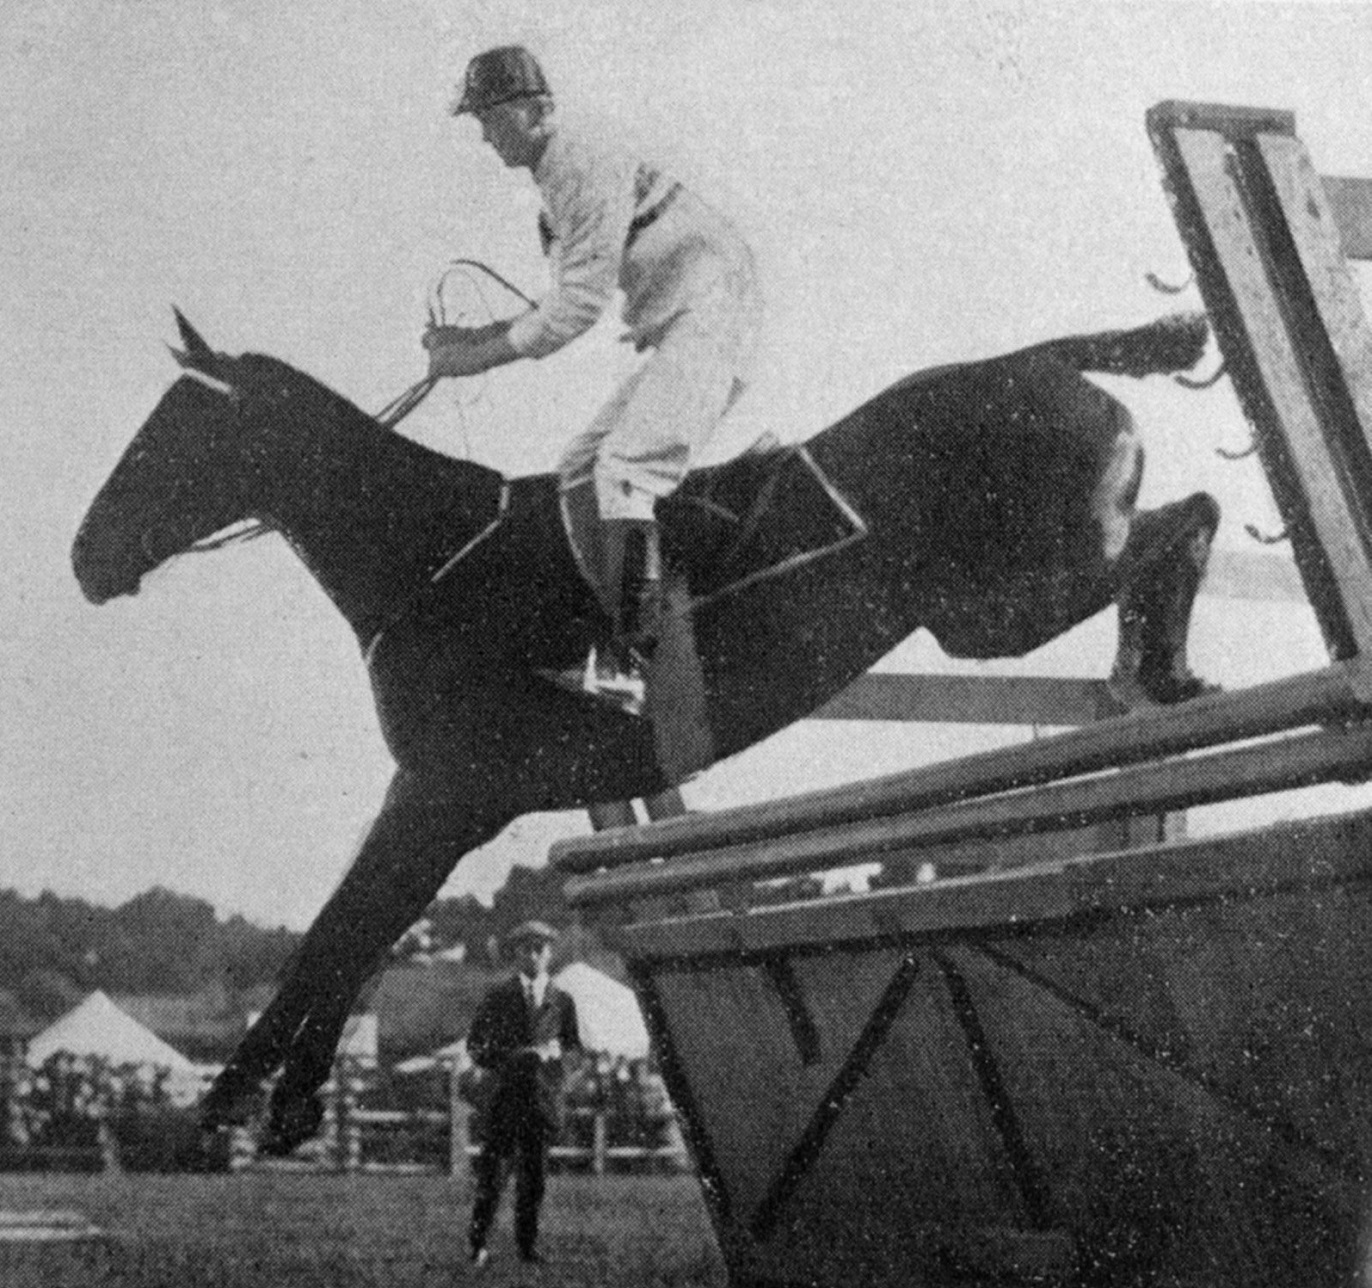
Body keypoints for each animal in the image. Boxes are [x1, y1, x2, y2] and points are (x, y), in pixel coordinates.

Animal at [69, 307, 1218, 1152]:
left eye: (168, 437)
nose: (85, 556)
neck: (434, 561)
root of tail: (1036, 359)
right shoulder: (437, 797)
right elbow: (351, 931)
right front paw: (281, 1098)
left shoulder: (450, 793)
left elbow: (342, 932)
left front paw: (246, 1099)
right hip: (992, 608)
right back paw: (1163, 669)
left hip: (1004, 601)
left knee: (1188, 516)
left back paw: (1160, 663)